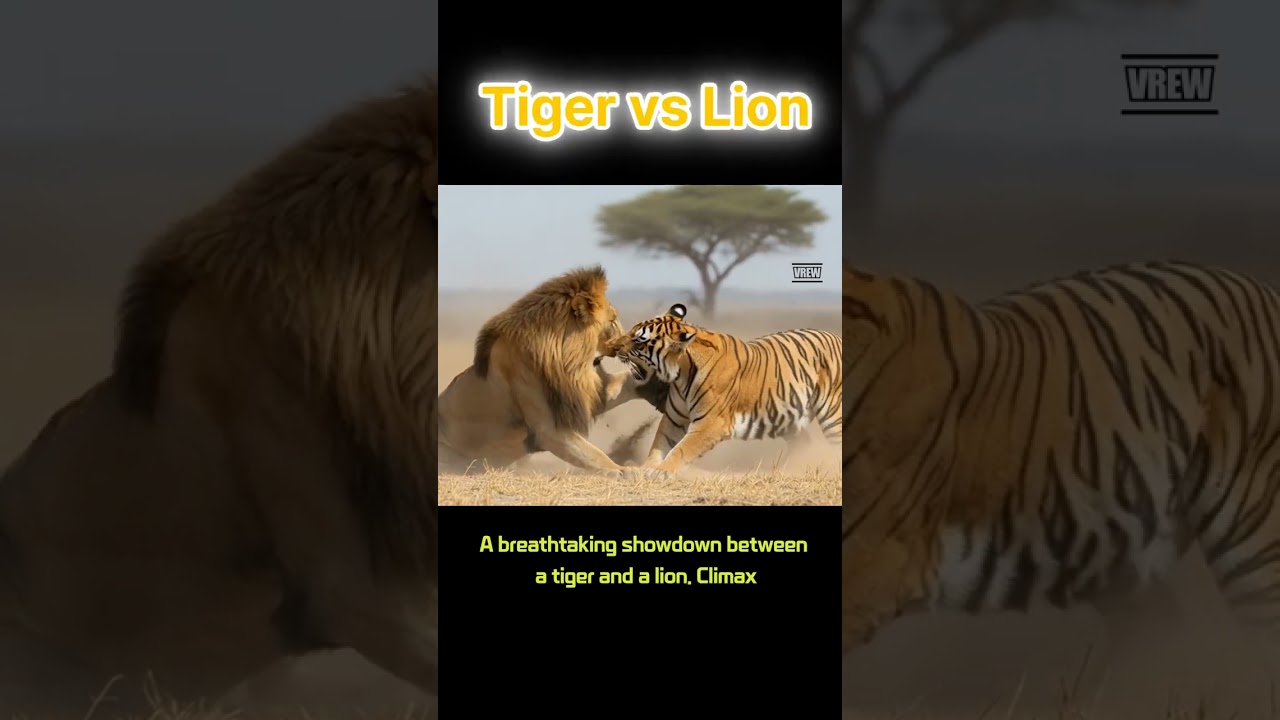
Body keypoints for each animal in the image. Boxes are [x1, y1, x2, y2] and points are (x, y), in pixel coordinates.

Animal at [437, 265, 667, 475]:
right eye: (612, 321)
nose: (627, 344)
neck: (573, 364)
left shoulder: (582, 394)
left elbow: (625, 382)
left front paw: (656, 385)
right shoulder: (548, 430)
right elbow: (595, 455)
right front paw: (625, 471)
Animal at [604, 303, 842, 479]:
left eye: (639, 341)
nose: (612, 347)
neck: (681, 373)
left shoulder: (710, 424)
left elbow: (682, 448)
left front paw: (661, 472)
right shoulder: (673, 419)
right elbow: (659, 444)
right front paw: (646, 468)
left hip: (833, 415)